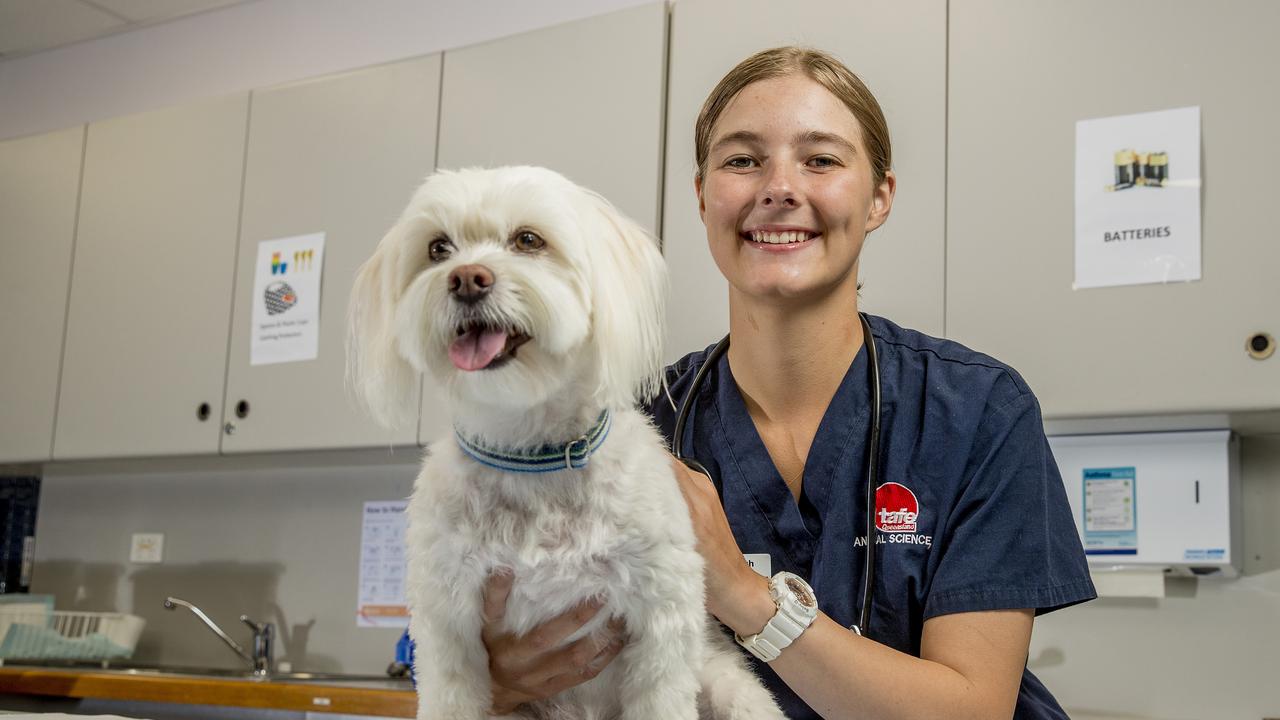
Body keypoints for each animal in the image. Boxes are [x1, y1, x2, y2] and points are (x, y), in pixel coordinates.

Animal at [350, 166, 783, 717]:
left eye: (528, 240)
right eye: (438, 248)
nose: (466, 278)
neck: (534, 457)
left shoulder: (661, 614)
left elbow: (661, 689)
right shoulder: (449, 627)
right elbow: (451, 688)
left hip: (728, 687)